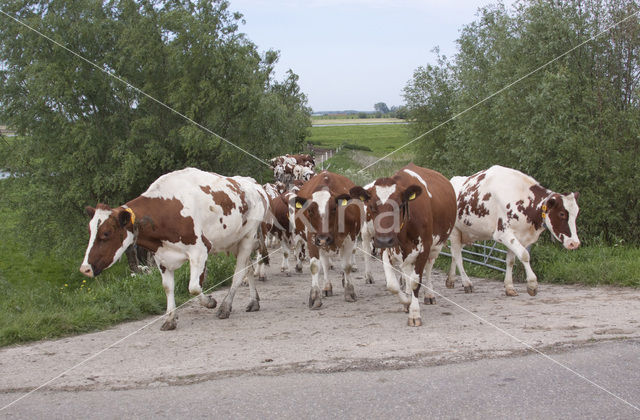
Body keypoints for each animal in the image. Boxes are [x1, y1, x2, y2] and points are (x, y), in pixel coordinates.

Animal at [80, 167, 270, 328]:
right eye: (90, 231)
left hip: (247, 238)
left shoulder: (200, 251)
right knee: (248, 269)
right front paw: (170, 318)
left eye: (106, 233)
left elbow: (194, 287)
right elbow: (167, 287)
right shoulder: (161, 257)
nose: (85, 269)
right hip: (234, 241)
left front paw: (210, 302)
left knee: (238, 273)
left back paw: (225, 306)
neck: (166, 209)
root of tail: (253, 184)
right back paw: (254, 301)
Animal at [292, 171, 362, 308]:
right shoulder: (313, 239)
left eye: (334, 208)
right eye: (310, 210)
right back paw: (327, 286)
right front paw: (315, 297)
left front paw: (349, 291)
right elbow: (315, 266)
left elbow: (346, 265)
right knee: (325, 264)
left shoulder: (350, 239)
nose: (324, 238)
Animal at [348, 163, 458, 324]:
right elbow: (392, 285)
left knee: (428, 267)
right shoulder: (386, 249)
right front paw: (407, 301)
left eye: (399, 206)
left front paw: (414, 312)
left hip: (437, 245)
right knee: (406, 272)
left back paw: (429, 294)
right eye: (372, 207)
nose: (384, 240)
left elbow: (415, 282)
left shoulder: (424, 248)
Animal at [448, 164, 584, 296]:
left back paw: (450, 280)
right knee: (457, 255)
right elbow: (524, 255)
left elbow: (510, 261)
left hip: (465, 233)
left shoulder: (518, 236)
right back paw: (467, 283)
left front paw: (509, 287)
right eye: (561, 214)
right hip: (455, 231)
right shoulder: (503, 233)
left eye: (576, 213)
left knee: (455, 254)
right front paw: (532, 284)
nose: (574, 243)